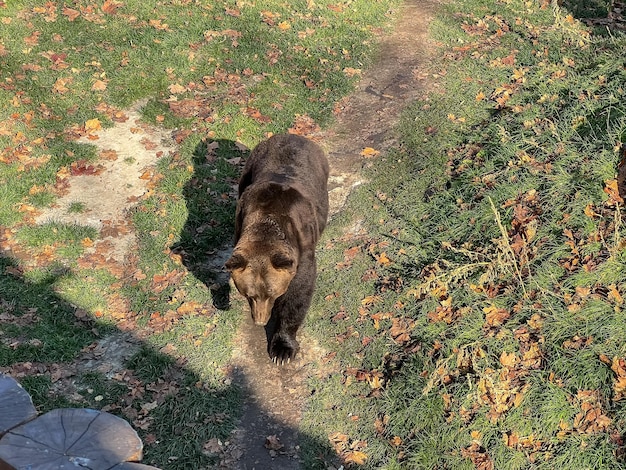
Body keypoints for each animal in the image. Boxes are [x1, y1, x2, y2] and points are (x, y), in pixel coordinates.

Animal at [225, 134, 332, 366]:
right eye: (249, 294)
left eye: (273, 293)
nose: (259, 320)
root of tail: (291, 135)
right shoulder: (240, 224)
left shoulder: (302, 250)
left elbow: (298, 294)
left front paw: (282, 349)